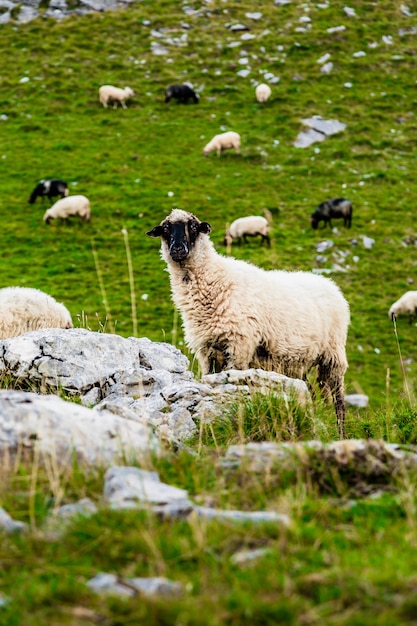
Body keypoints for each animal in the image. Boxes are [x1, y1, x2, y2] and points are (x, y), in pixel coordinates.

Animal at [148, 207, 350, 436]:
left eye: (192, 226)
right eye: (165, 228)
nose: (178, 249)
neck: (215, 280)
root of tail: (330, 283)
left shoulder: (239, 344)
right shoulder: (206, 350)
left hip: (332, 355)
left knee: (338, 399)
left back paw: (341, 432)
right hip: (296, 360)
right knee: (312, 391)